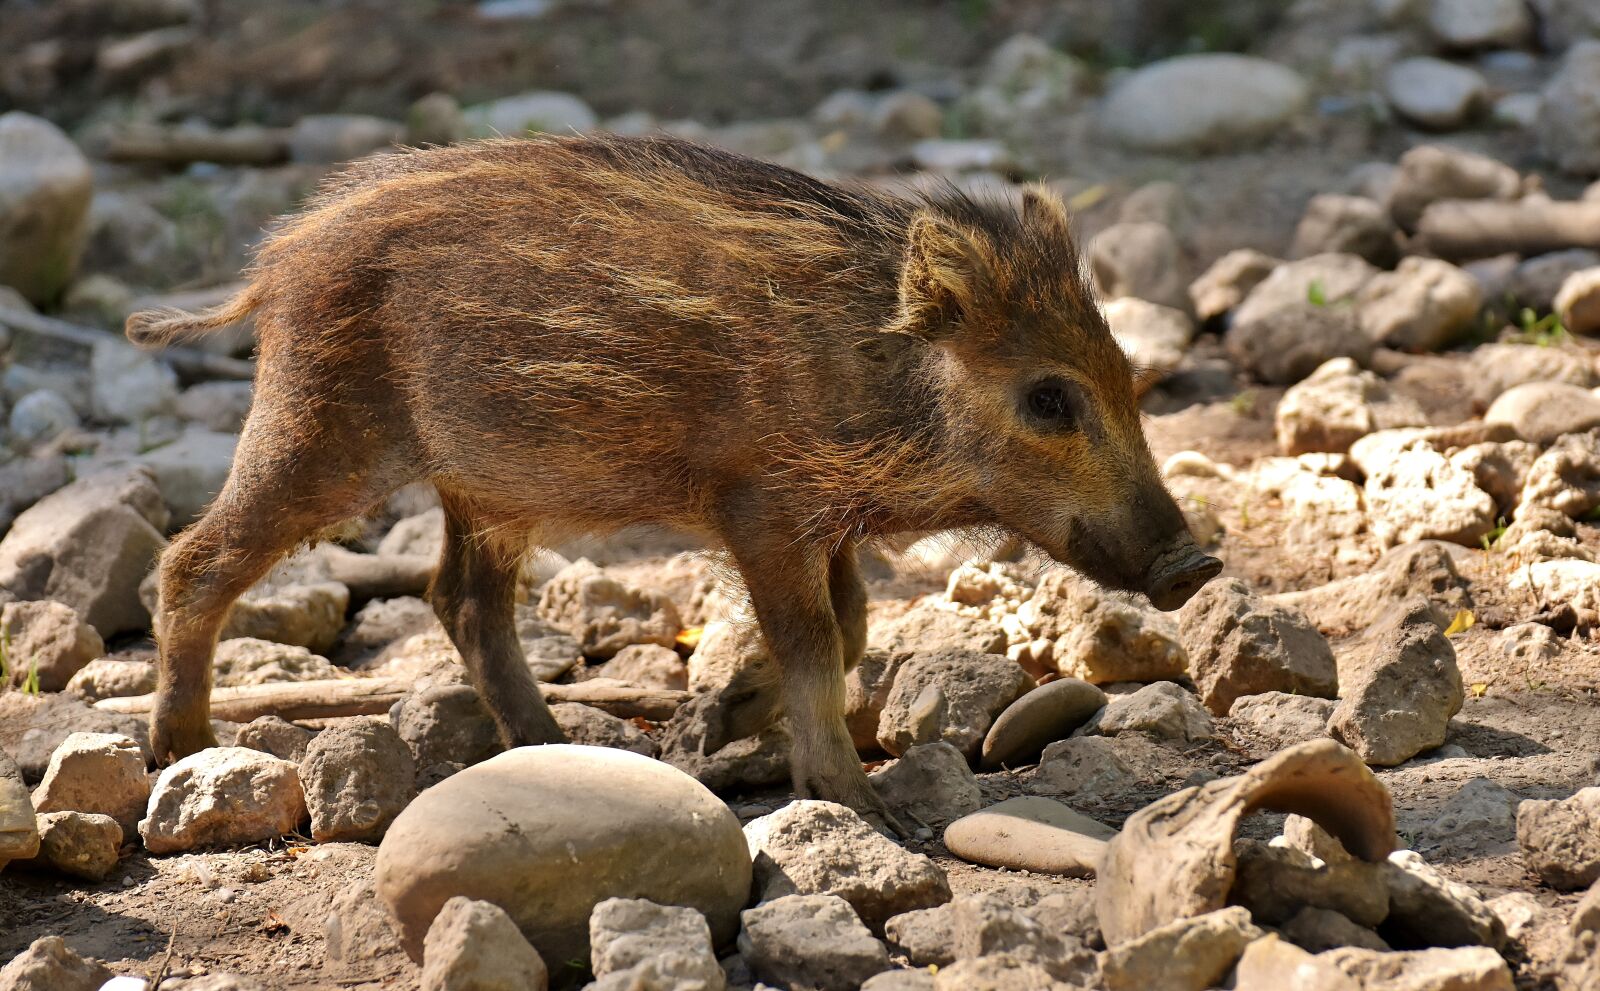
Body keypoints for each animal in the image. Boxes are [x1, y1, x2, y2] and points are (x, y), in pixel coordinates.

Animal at [126, 134, 1220, 831]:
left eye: (1124, 374)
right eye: (1048, 397)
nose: (1196, 565)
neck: (876, 371)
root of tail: (272, 266)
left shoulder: (822, 521)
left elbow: (852, 627)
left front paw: (718, 724)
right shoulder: (763, 506)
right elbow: (818, 642)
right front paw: (859, 804)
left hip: (483, 490)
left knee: (460, 598)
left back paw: (552, 744)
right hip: (323, 437)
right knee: (189, 563)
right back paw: (176, 749)